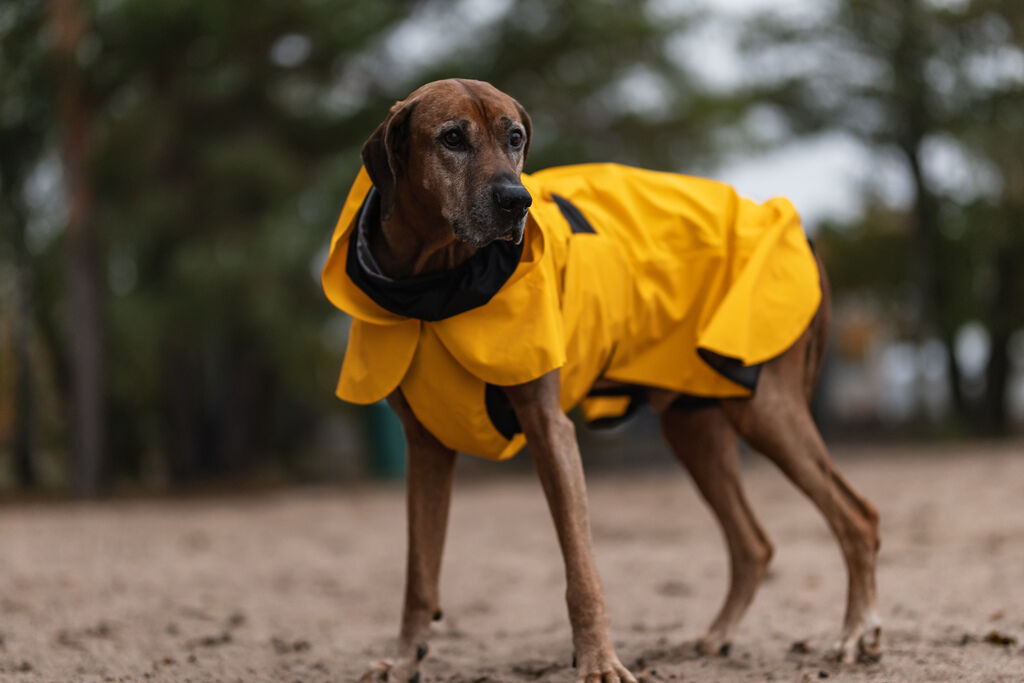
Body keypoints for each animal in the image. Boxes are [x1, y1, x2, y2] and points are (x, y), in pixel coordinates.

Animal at [325, 78, 880, 683]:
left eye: (514, 138)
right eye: (451, 138)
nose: (516, 201)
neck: (435, 287)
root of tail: (801, 234)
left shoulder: (549, 428)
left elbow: (581, 568)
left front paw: (598, 660)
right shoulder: (425, 449)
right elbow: (418, 573)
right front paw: (405, 659)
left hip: (766, 407)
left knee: (857, 516)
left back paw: (857, 634)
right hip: (695, 426)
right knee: (753, 544)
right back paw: (718, 637)